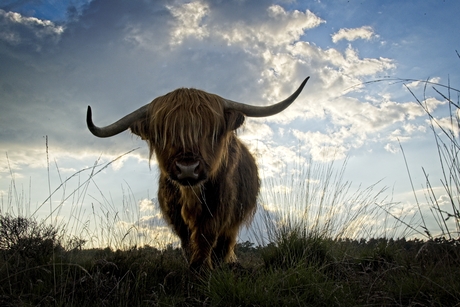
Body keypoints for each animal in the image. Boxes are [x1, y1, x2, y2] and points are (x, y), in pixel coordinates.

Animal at [86, 77, 310, 272]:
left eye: (210, 132)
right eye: (164, 134)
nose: (187, 168)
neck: (190, 194)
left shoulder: (220, 208)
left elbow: (207, 236)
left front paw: (202, 268)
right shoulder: (175, 213)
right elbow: (187, 240)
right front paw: (194, 265)